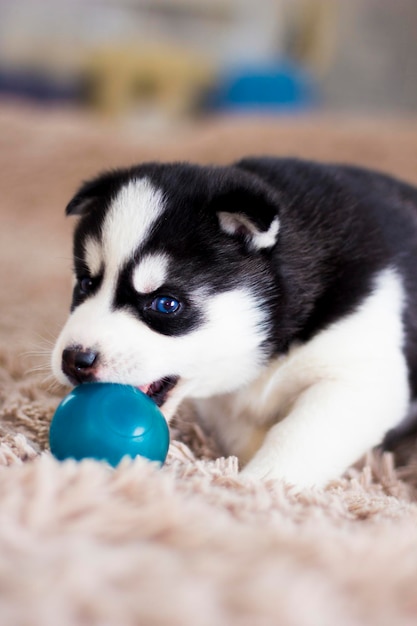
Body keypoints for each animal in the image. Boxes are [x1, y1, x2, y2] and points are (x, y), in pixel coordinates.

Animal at [51, 157, 416, 488]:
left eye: (166, 304)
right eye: (85, 284)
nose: (74, 360)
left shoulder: (360, 375)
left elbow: (299, 435)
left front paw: (258, 486)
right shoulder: (225, 403)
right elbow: (243, 433)